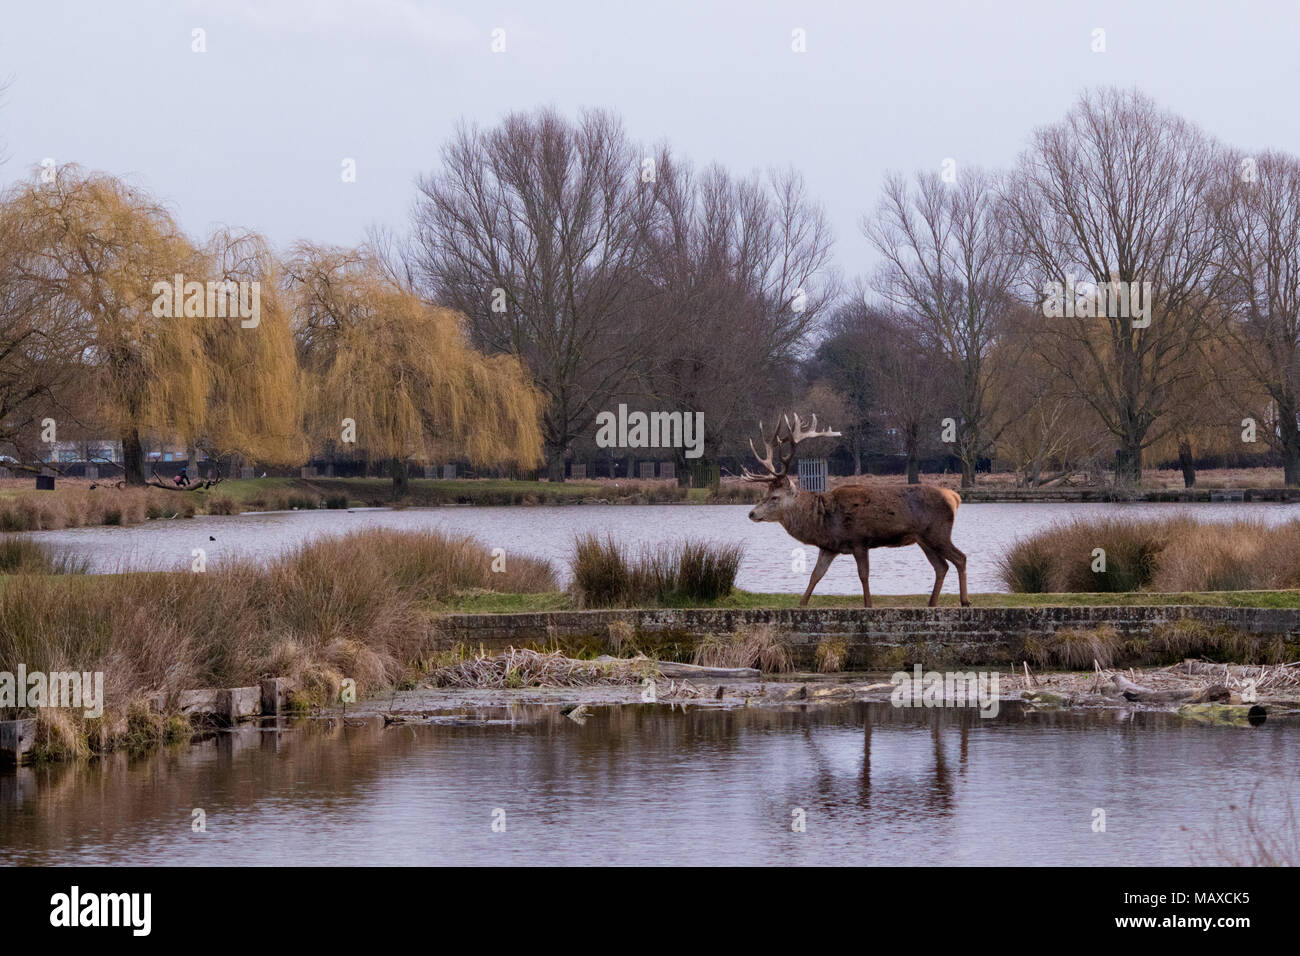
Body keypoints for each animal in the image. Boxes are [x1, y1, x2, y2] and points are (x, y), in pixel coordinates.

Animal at [743, 414, 969, 608]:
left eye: (775, 497)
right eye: (764, 492)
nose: (751, 514)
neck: (823, 521)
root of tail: (954, 496)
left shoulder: (859, 540)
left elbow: (863, 575)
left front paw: (868, 605)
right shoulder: (829, 547)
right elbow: (816, 575)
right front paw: (801, 604)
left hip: (938, 532)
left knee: (960, 558)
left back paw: (964, 601)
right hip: (923, 539)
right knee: (941, 566)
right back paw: (931, 603)